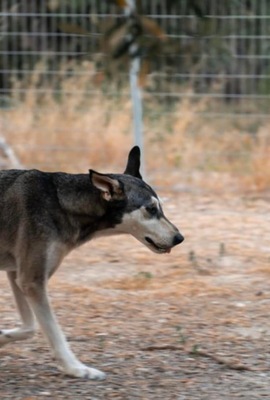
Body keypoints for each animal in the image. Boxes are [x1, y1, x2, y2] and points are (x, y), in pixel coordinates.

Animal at [0, 146, 184, 378]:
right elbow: (54, 334)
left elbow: (29, 328)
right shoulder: (31, 281)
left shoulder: (18, 275)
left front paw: (1, 337)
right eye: (151, 209)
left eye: (161, 207)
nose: (180, 238)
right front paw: (76, 369)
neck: (60, 203)